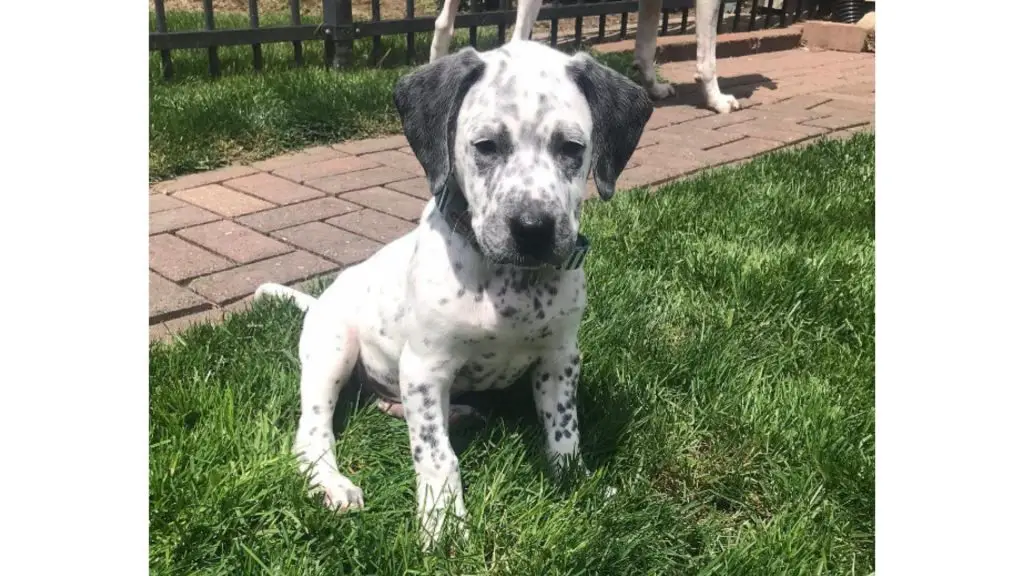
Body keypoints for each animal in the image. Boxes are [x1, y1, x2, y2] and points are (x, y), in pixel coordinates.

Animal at [260, 40, 651, 545]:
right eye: (486, 146)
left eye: (572, 148)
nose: (534, 229)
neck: (510, 284)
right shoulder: (425, 368)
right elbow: (436, 454)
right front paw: (443, 518)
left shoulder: (560, 357)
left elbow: (564, 427)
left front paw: (575, 480)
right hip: (332, 351)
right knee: (312, 433)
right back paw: (332, 483)